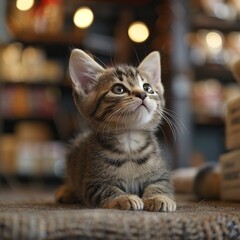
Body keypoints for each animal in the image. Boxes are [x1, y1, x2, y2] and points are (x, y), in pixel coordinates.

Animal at [55, 49, 176, 212]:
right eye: (118, 89)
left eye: (148, 88)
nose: (143, 94)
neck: (130, 146)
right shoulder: (93, 182)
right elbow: (106, 189)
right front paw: (123, 198)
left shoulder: (161, 175)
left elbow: (159, 185)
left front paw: (159, 197)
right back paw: (66, 192)